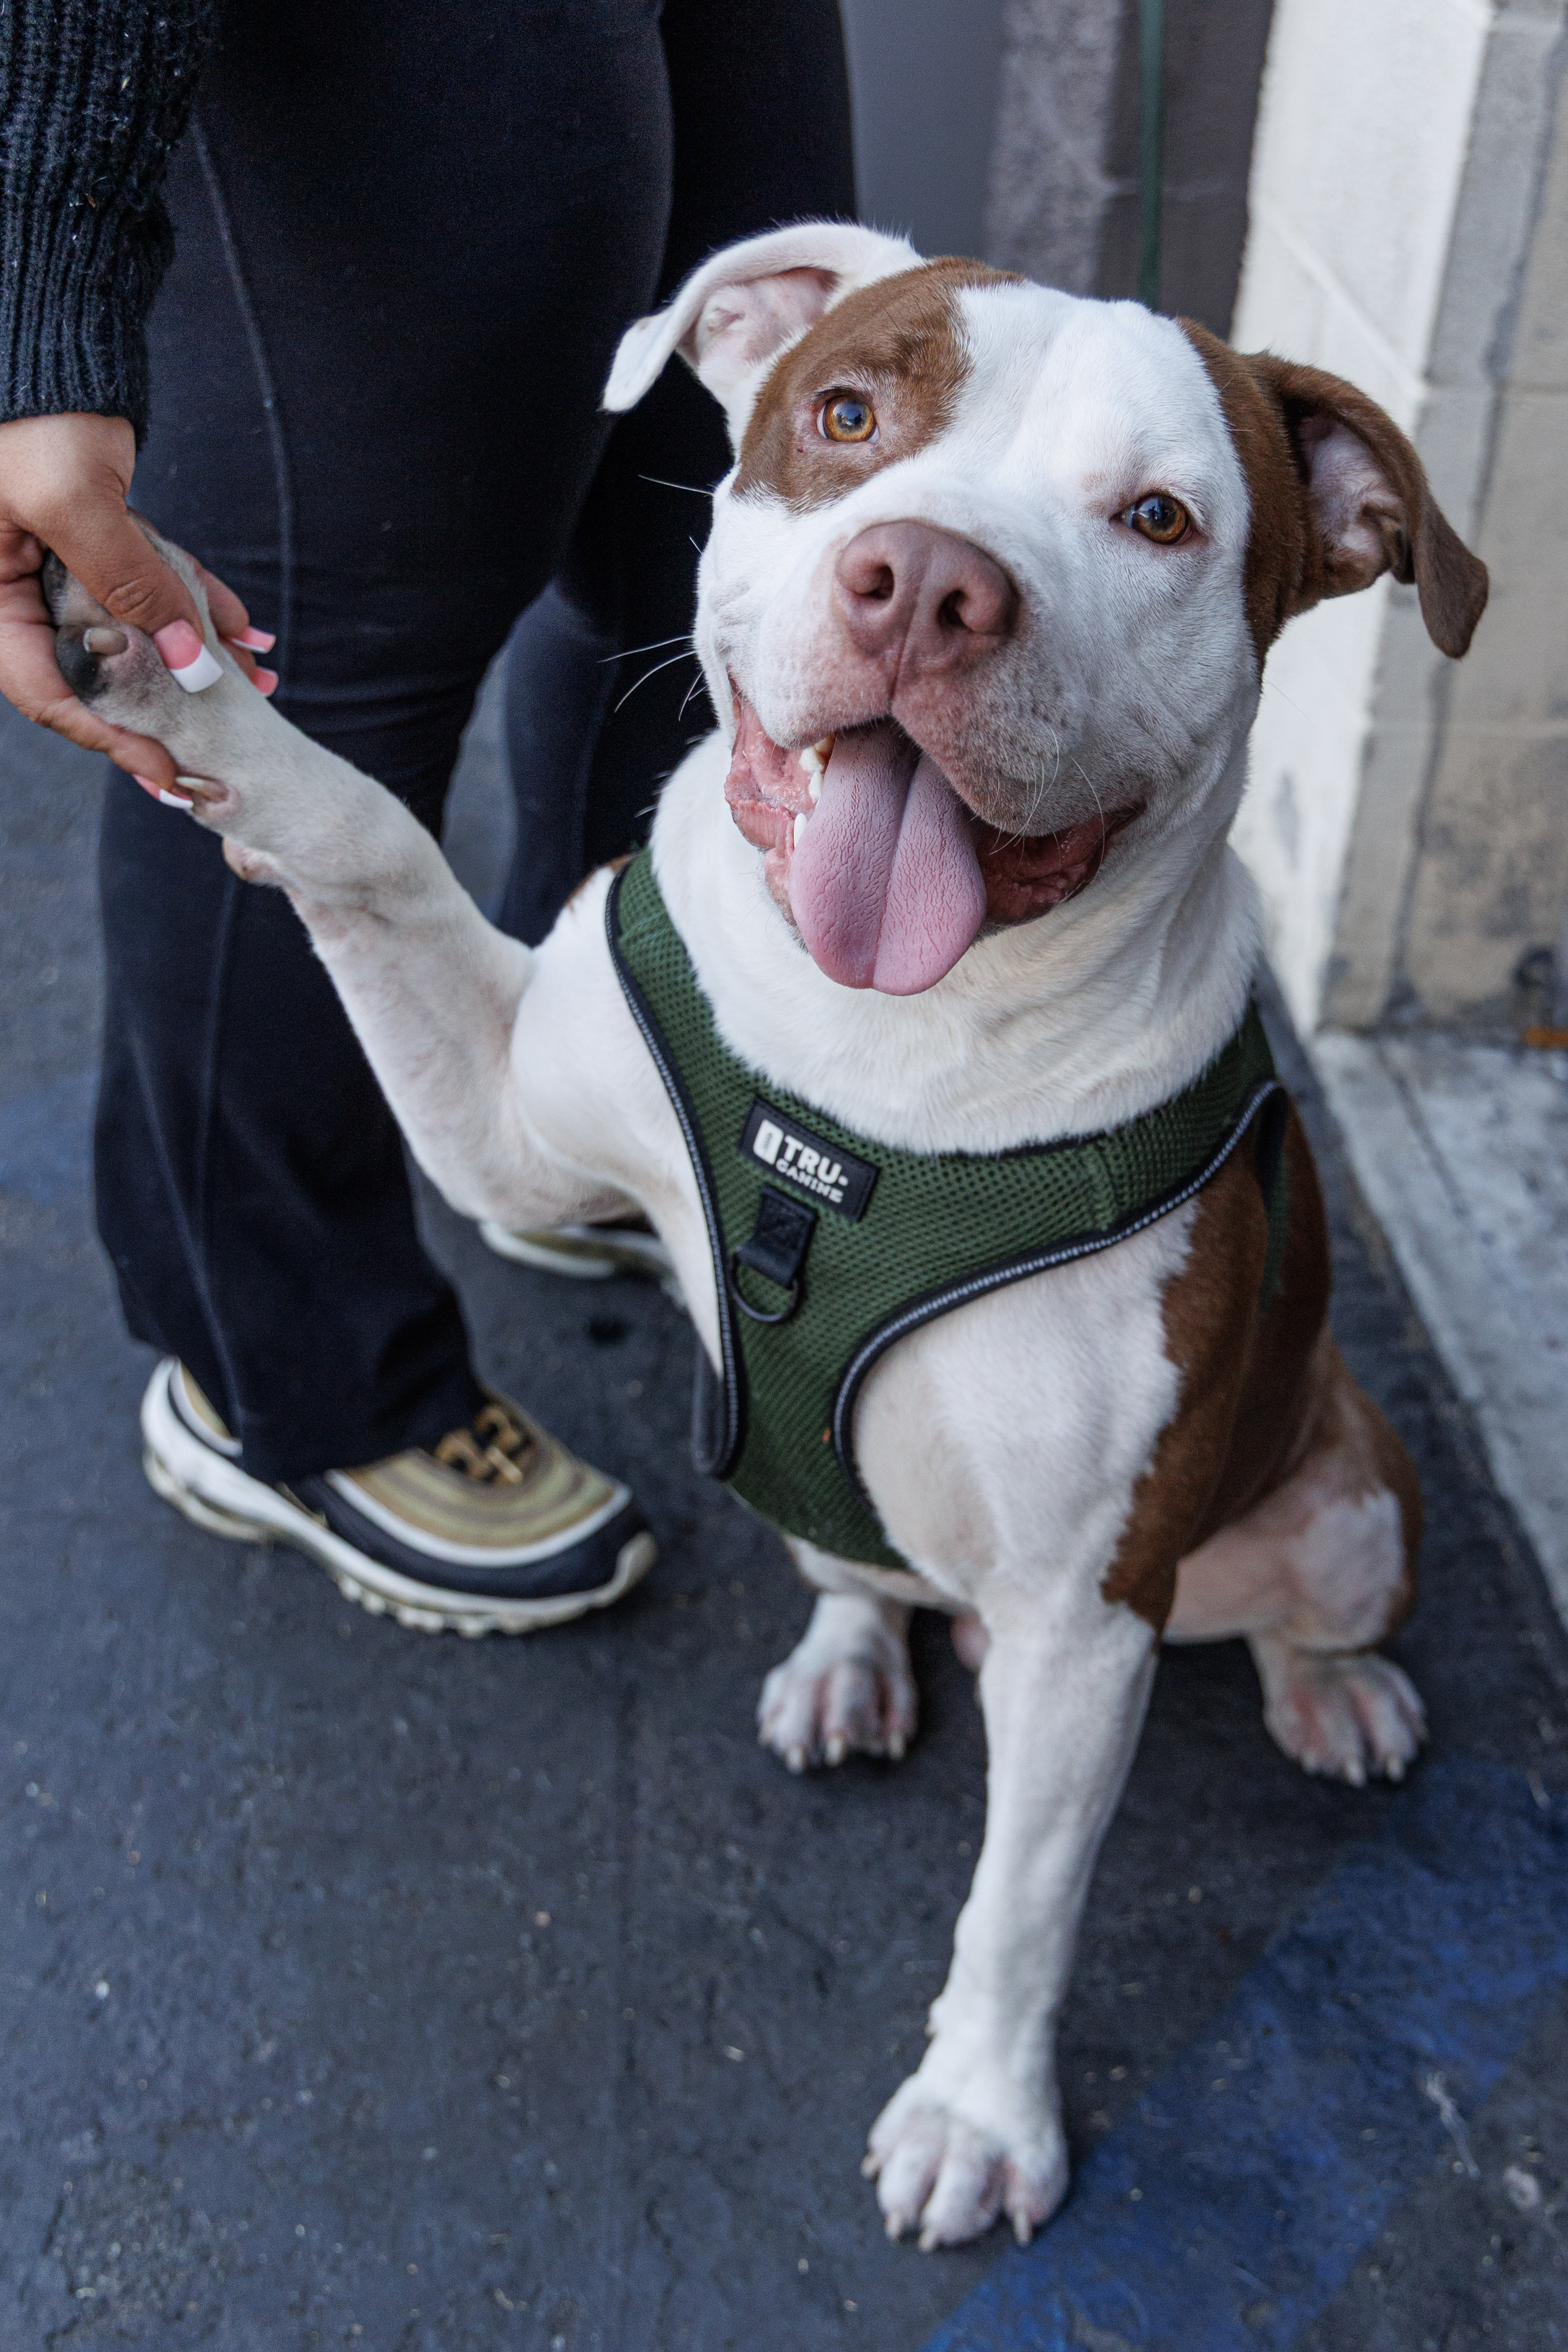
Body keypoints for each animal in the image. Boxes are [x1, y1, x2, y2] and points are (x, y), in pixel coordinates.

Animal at [54, 220, 1488, 2252]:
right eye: (848, 414)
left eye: (1157, 518)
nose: (934, 586)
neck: (875, 1057)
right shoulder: (504, 1124)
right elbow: (374, 836)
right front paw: (178, 685)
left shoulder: (1082, 1618)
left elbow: (1021, 1903)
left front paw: (978, 2111)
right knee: (851, 1560)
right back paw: (849, 1659)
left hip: (1351, 1496)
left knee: (1305, 1608)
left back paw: (1335, 1691)